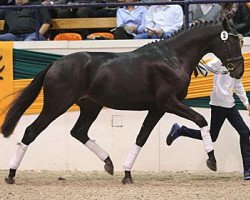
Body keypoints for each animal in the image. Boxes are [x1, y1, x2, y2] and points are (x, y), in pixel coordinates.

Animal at [0, 20, 243, 184]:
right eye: (232, 40)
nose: (239, 70)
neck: (173, 57)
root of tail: (56, 63)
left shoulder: (157, 108)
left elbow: (141, 138)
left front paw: (127, 174)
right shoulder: (168, 103)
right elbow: (201, 120)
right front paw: (212, 161)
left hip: (90, 106)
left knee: (79, 132)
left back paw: (109, 163)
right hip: (56, 105)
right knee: (31, 131)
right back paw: (11, 175)